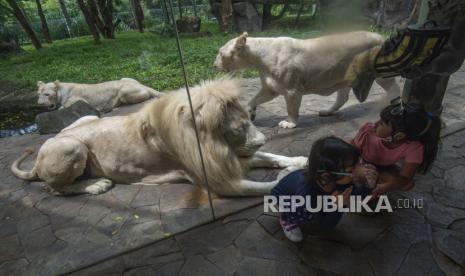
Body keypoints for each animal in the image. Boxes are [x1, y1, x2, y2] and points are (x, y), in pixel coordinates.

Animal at [10, 77, 306, 196]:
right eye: (238, 128)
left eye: (250, 121)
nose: (261, 139)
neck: (215, 144)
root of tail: (38, 157)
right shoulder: (218, 180)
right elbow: (269, 187)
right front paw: (287, 177)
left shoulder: (233, 157)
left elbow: (271, 156)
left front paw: (299, 161)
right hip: (71, 147)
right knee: (52, 189)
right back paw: (97, 185)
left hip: (85, 119)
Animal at [213, 31, 398, 129]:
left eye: (221, 54)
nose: (214, 65)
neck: (258, 59)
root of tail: (380, 36)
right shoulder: (270, 89)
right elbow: (252, 100)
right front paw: (249, 112)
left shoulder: (292, 91)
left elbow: (291, 109)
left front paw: (290, 124)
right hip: (343, 78)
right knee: (342, 97)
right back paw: (327, 111)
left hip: (381, 75)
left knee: (395, 89)